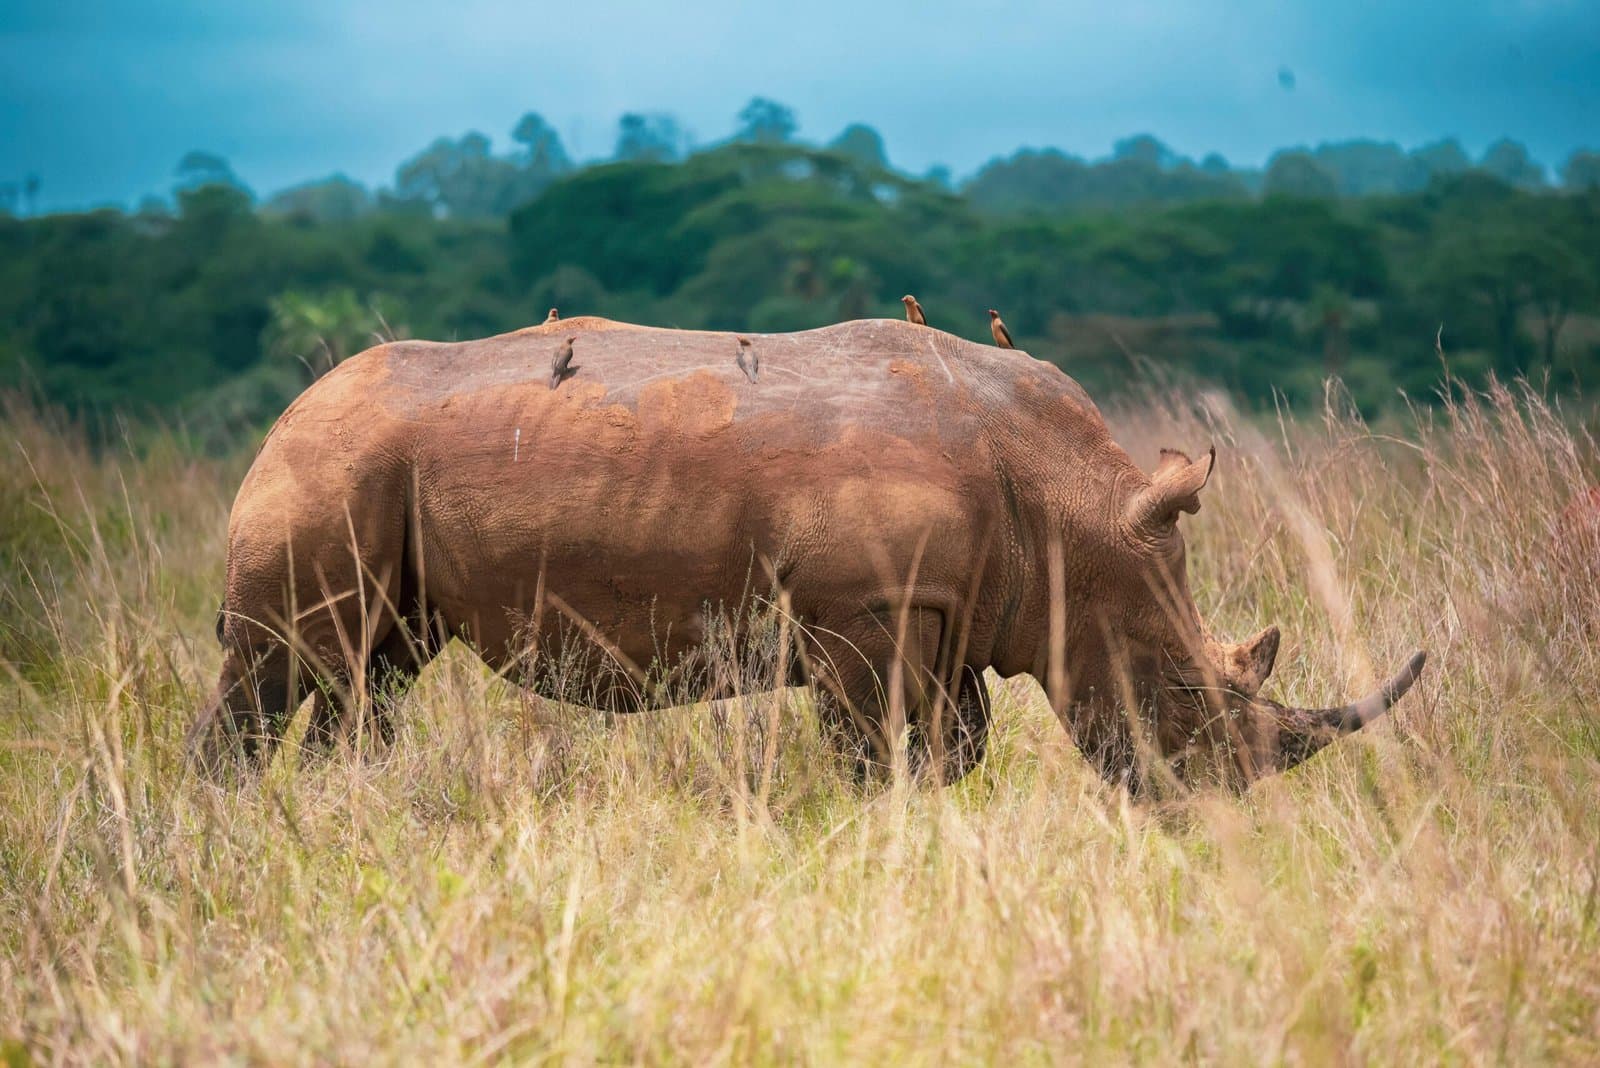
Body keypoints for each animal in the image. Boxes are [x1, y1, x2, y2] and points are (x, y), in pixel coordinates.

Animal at [191, 316, 1425, 788]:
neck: (1073, 508)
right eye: (1177, 694)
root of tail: (282, 417)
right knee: (280, 668)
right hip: (328, 467)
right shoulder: (861, 613)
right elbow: (873, 750)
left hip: (370, 475)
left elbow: (953, 748)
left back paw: (346, 799)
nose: (1214, 813)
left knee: (372, 673)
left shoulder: (947, 610)